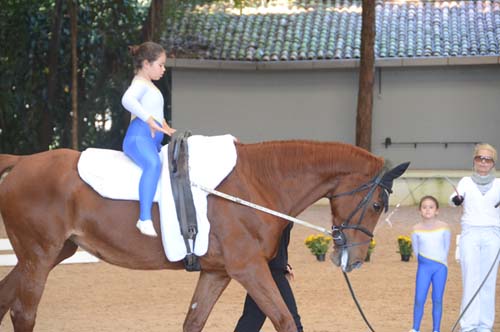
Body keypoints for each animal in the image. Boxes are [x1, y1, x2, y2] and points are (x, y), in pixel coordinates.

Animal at [0, 141, 408, 332]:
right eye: (376, 205)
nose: (355, 259)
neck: (256, 182)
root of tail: (22, 162)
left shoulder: (217, 273)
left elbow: (193, 321)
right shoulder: (249, 270)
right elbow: (284, 319)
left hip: (50, 254)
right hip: (38, 256)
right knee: (22, 313)